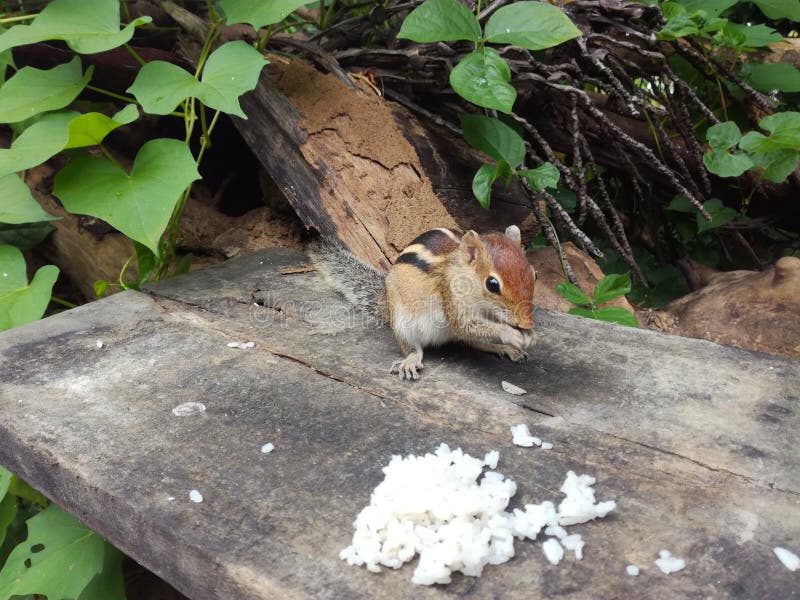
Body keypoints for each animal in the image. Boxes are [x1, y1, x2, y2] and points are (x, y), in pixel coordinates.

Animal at [309, 225, 536, 380]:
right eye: (492, 284)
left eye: (535, 274)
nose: (527, 323)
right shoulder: (451, 297)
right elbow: (466, 325)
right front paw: (512, 335)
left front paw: (529, 336)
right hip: (403, 324)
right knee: (413, 347)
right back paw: (411, 360)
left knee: (476, 342)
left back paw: (503, 349)